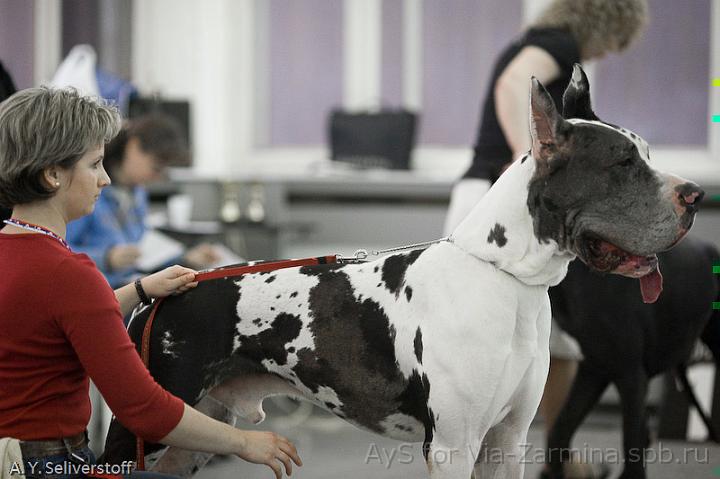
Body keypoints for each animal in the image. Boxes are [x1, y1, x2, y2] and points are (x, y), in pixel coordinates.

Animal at [102, 64, 704, 479]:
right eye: (622, 163)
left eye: (646, 154)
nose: (695, 195)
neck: (507, 280)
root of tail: (163, 294)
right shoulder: (453, 447)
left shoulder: (506, 443)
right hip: (143, 429)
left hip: (188, 439)